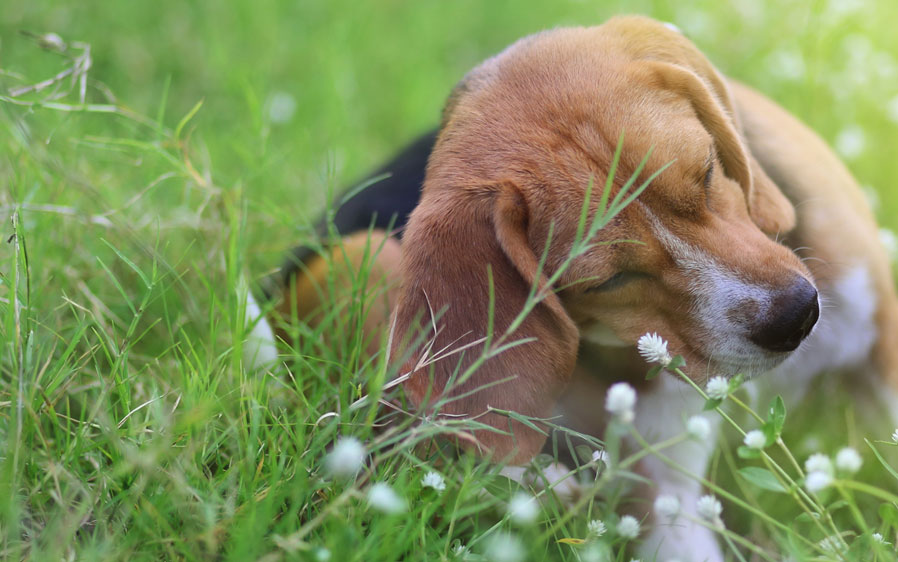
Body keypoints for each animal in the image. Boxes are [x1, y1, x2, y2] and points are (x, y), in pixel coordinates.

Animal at [272, 15, 896, 556]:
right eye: (610, 279)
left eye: (707, 173)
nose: (796, 317)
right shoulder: (665, 499)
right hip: (364, 254)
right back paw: (543, 482)